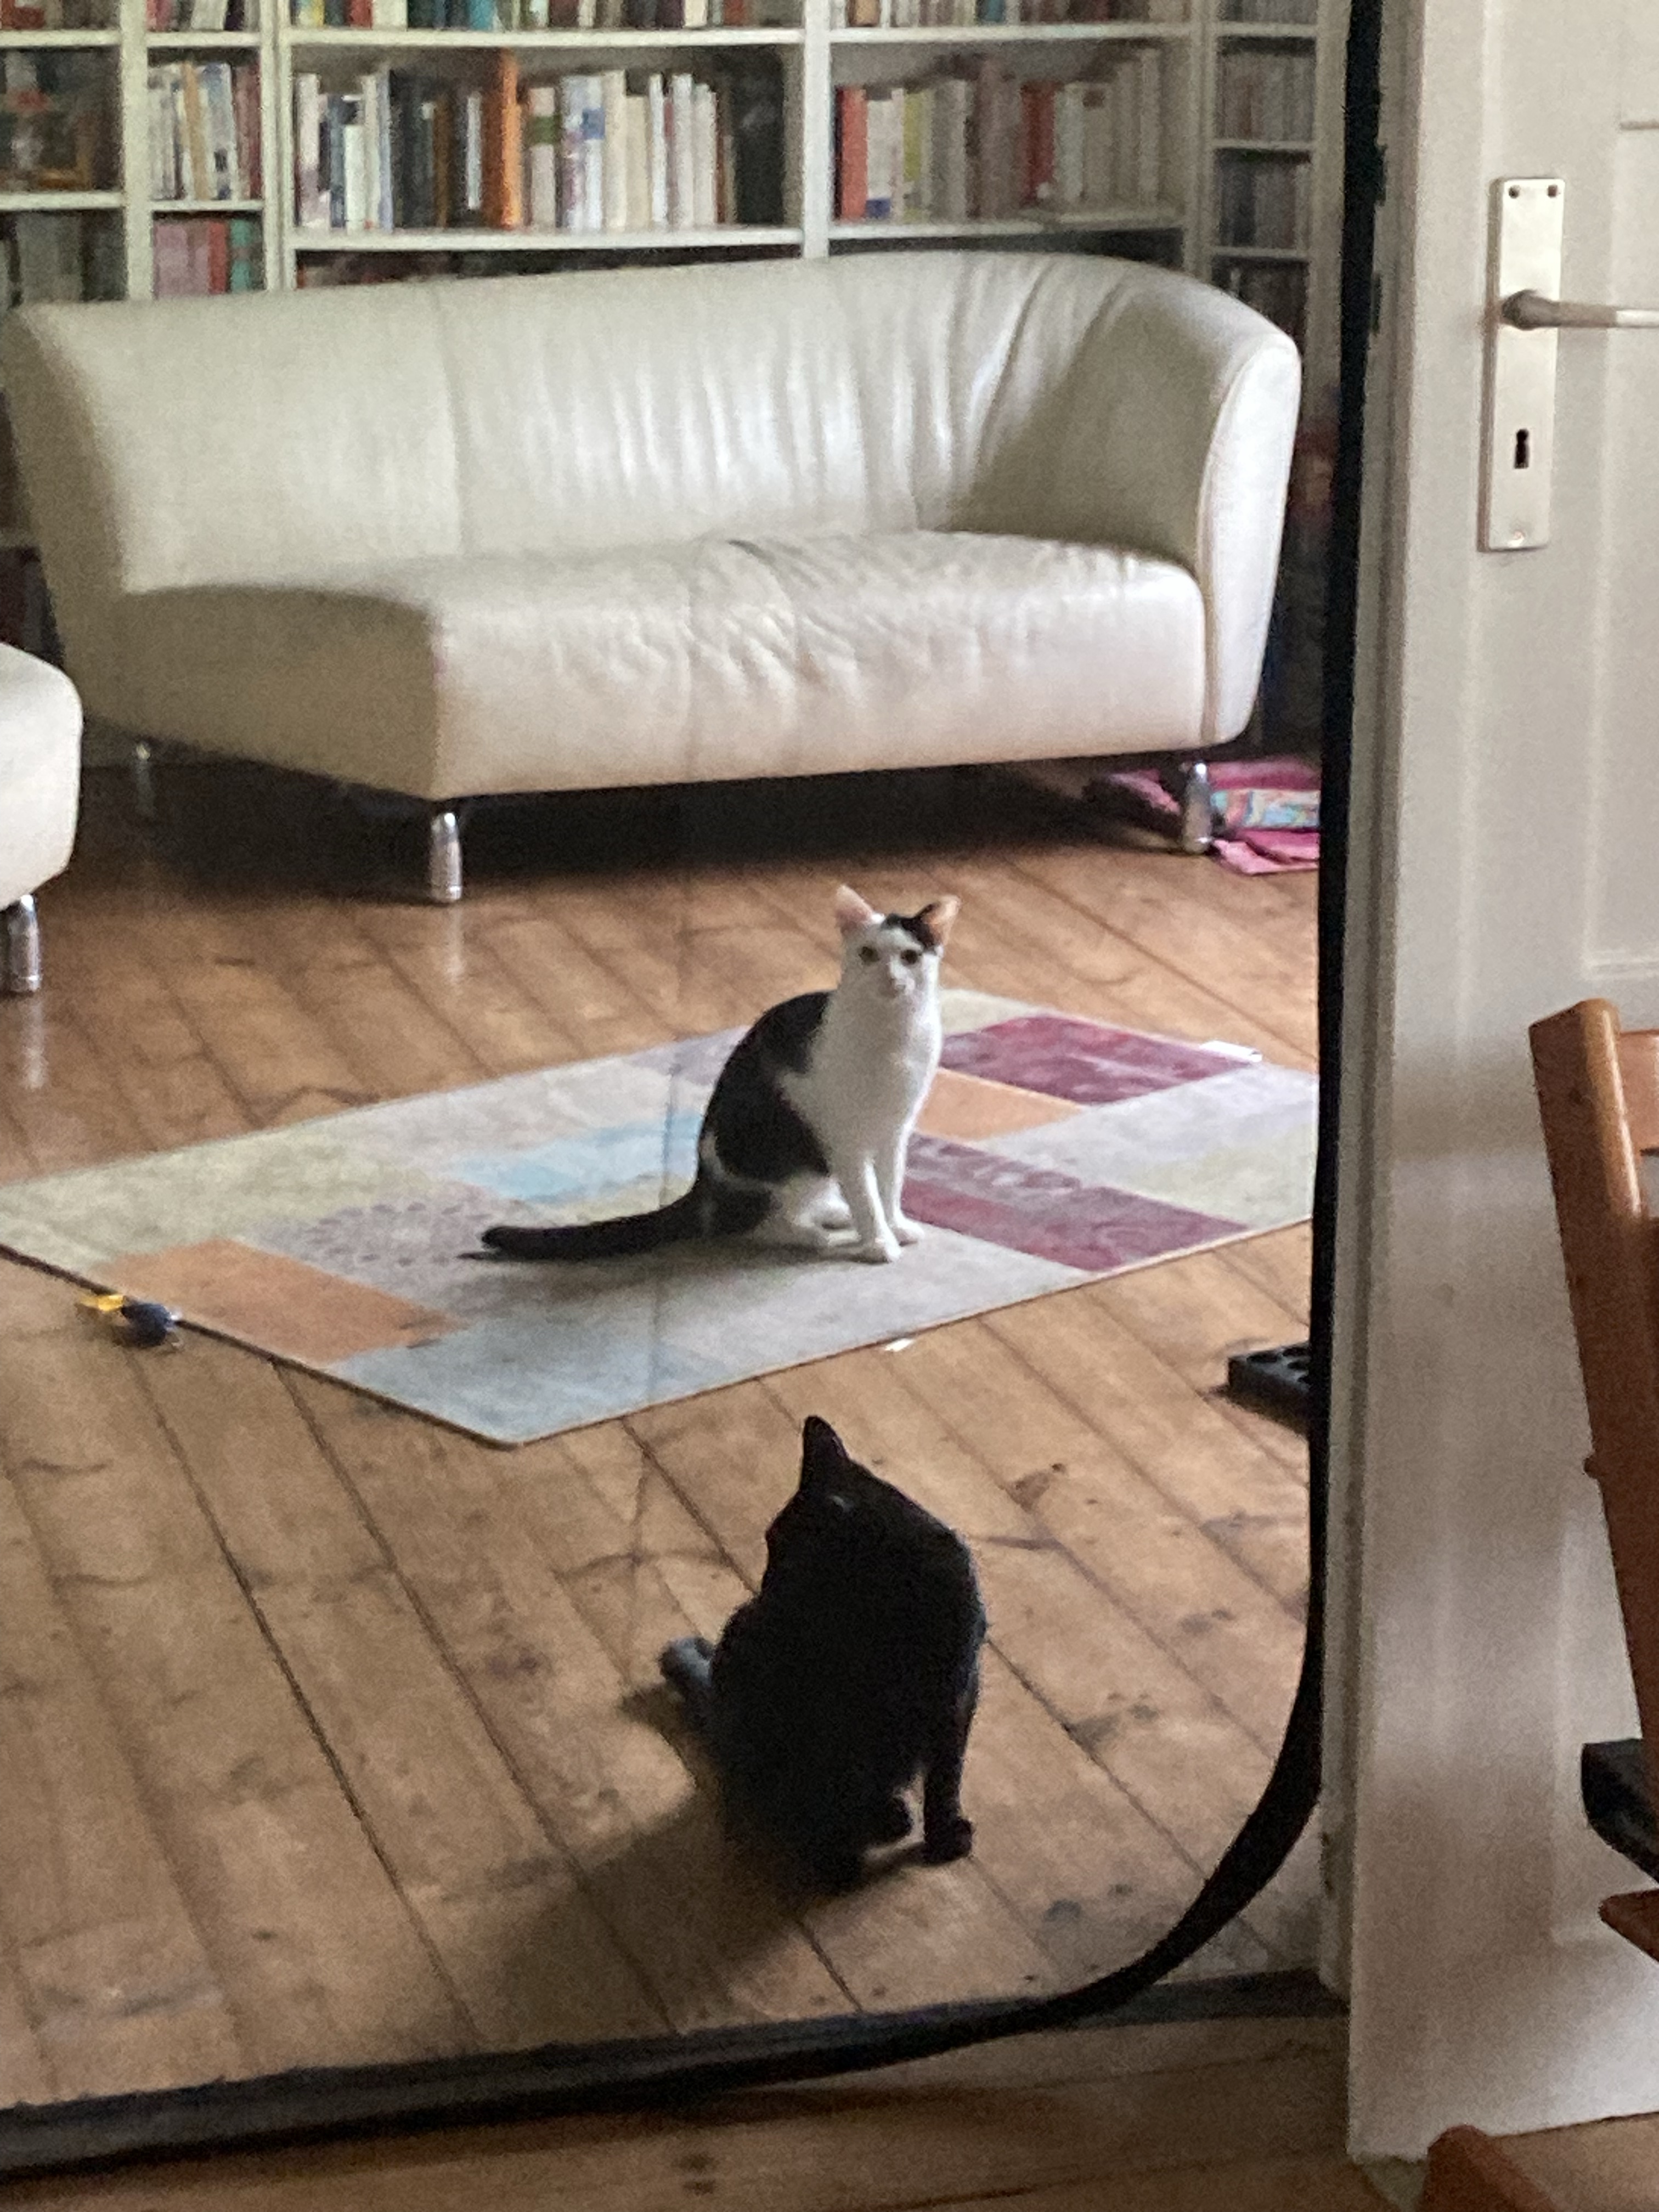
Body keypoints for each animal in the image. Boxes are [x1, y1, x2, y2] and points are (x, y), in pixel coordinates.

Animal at [479, 886, 959, 1267]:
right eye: (868, 955)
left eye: (910, 956)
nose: (892, 980)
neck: (895, 1037)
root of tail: (701, 1184)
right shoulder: (845, 1138)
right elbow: (866, 1194)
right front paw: (878, 1241)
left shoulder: (895, 1130)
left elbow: (889, 1184)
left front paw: (896, 1224)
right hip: (777, 1159)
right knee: (743, 1225)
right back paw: (811, 1234)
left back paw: (830, 1212)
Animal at [660, 1414, 985, 1890]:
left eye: (779, 1546)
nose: (765, 1585)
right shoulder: (828, 1722)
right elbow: (831, 1794)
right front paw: (837, 1864)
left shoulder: (958, 1697)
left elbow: (946, 1779)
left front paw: (945, 1837)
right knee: (781, 1799)